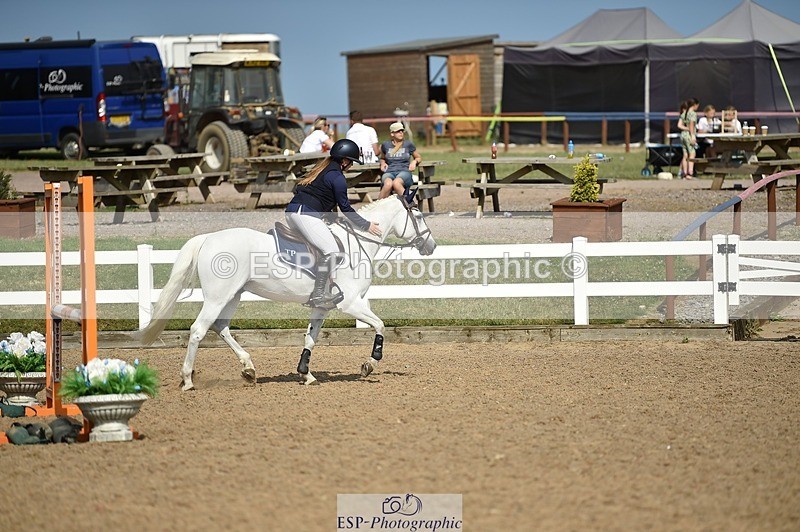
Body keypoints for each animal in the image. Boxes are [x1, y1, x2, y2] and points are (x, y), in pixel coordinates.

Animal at [136, 194, 436, 390]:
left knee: (221, 327)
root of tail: (208, 238)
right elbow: (380, 325)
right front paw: (370, 364)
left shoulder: (322, 306)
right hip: (218, 297)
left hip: (233, 295)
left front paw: (306, 374)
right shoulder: (351, 303)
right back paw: (187, 380)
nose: (431, 245)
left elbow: (310, 338)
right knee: (198, 330)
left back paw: (248, 369)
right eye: (420, 215)